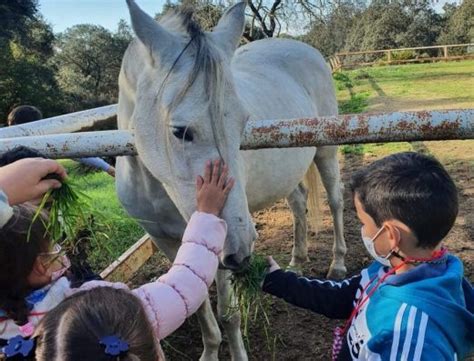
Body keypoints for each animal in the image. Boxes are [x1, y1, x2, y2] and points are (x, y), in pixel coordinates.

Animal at [115, 1, 344, 358]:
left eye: (243, 123)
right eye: (180, 131)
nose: (242, 247)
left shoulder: (219, 249)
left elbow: (228, 314)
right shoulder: (167, 242)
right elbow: (195, 304)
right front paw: (209, 351)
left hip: (326, 151)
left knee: (335, 201)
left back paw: (338, 264)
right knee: (298, 204)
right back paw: (296, 261)